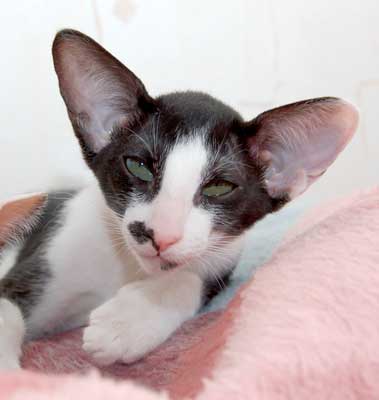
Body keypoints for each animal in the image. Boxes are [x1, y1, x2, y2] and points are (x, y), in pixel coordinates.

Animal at [0, 30, 360, 368]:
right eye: (138, 166)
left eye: (219, 188)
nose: (160, 235)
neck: (129, 267)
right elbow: (7, 309)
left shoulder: (225, 259)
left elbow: (191, 278)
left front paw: (129, 320)